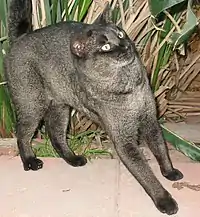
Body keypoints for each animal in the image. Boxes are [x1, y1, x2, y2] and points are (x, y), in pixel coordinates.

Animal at [3, 0, 184, 214]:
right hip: (33, 106)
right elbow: (146, 175)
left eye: (120, 33)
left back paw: (72, 159)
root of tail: (21, 37)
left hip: (60, 108)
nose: (125, 44)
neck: (129, 86)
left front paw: (169, 172)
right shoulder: (124, 140)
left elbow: (161, 149)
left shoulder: (150, 121)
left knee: (55, 135)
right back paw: (30, 161)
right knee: (22, 134)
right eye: (105, 46)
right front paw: (164, 200)